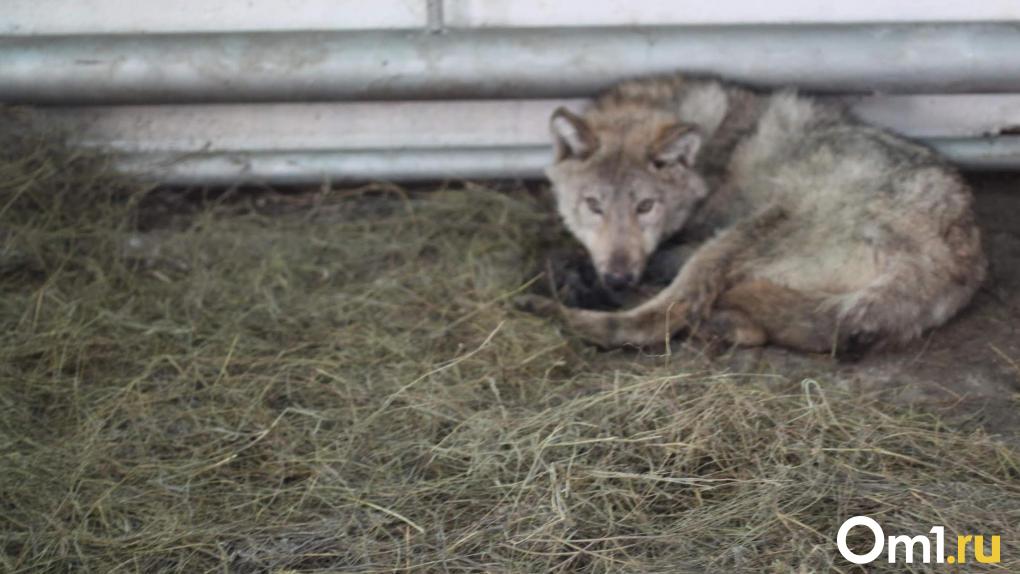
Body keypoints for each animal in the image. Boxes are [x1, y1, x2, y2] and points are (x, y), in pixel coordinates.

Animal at [522, 75, 983, 354]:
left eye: (645, 206)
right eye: (593, 205)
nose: (619, 276)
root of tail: (954, 260)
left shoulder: (704, 230)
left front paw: (584, 277)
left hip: (751, 228)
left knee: (660, 319)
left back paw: (556, 307)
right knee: (744, 326)